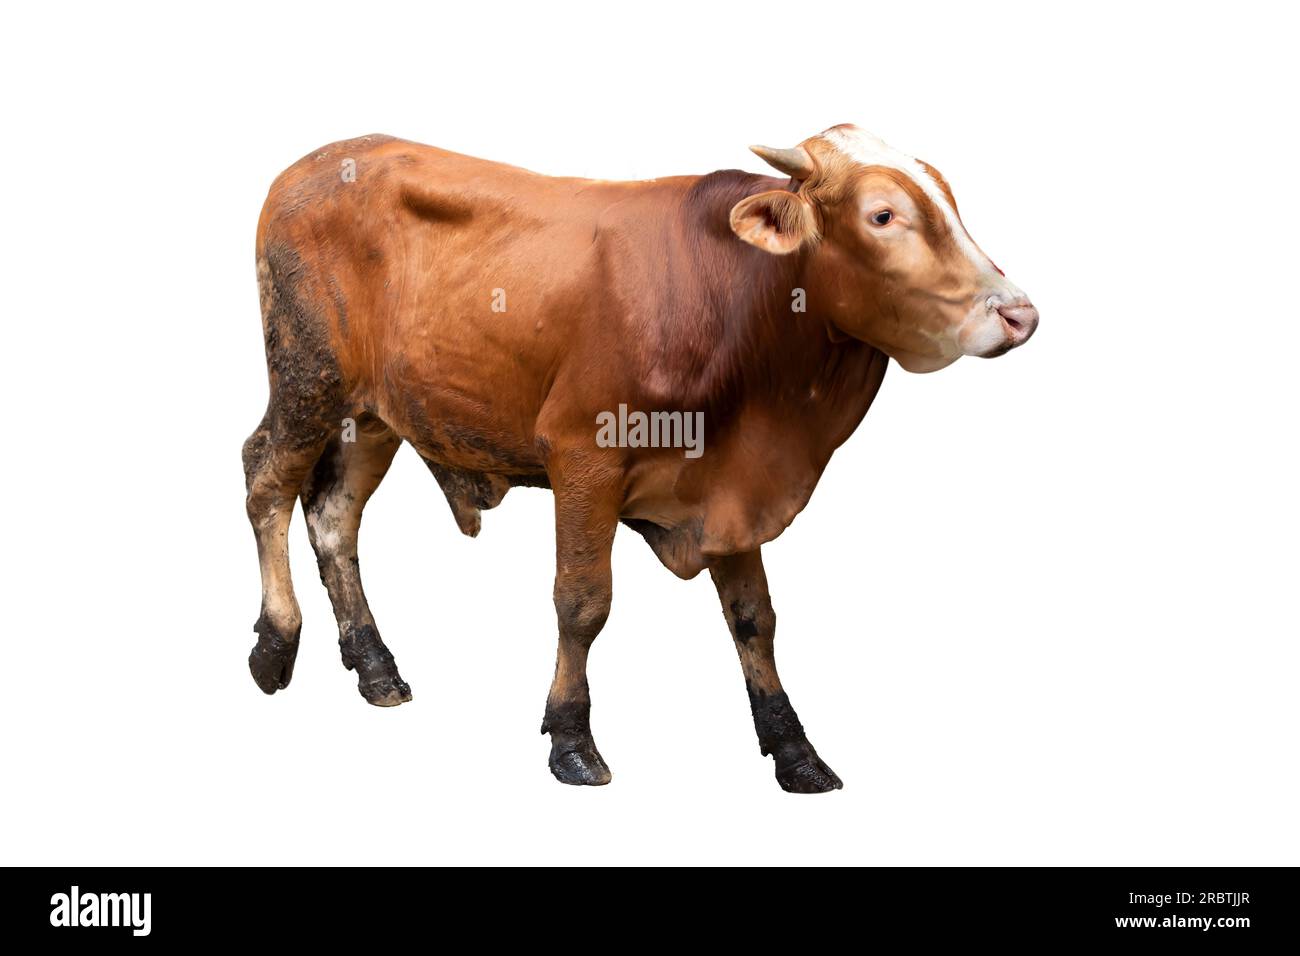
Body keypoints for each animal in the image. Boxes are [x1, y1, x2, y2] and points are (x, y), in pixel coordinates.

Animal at [241, 125, 1034, 790]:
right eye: (882, 217)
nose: (1017, 313)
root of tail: (310, 165)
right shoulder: (583, 458)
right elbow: (582, 602)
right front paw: (571, 738)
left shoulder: (731, 491)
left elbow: (755, 618)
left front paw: (795, 749)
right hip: (309, 380)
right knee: (265, 482)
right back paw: (276, 644)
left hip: (372, 413)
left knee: (334, 517)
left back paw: (374, 664)